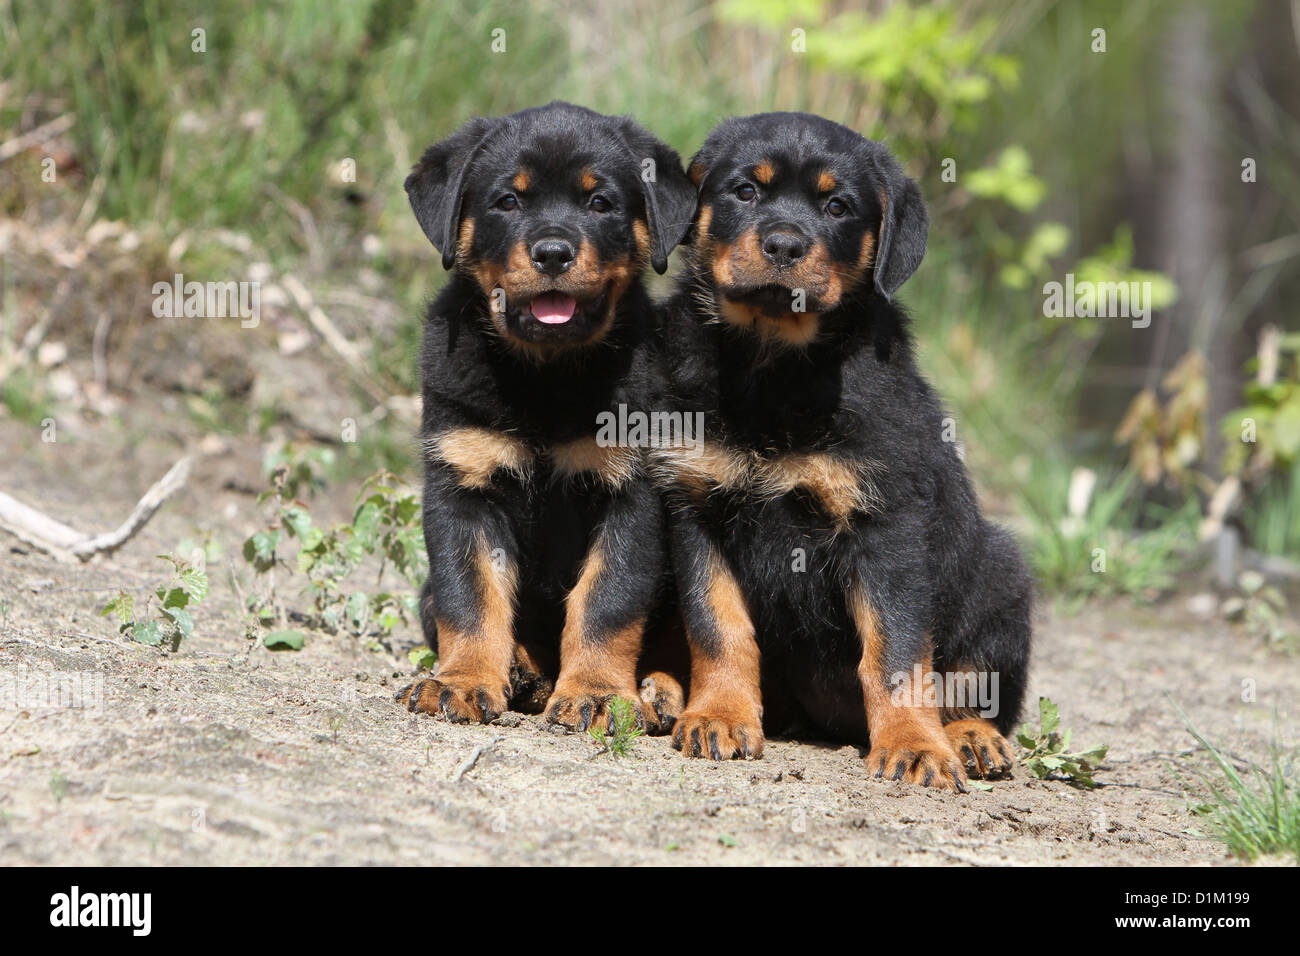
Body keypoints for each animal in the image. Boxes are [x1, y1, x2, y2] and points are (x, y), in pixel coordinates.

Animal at [397, 100, 696, 733]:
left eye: (600, 203)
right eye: (508, 201)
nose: (553, 252)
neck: (546, 376)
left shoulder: (632, 492)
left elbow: (608, 600)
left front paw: (599, 694)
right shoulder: (464, 483)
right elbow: (471, 595)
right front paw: (461, 681)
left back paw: (658, 691)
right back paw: (523, 669)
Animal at [655, 111, 1029, 790]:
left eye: (837, 206)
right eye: (744, 191)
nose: (783, 245)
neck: (775, 366)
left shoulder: (887, 523)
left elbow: (896, 650)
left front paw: (914, 746)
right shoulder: (698, 508)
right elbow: (718, 626)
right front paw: (719, 715)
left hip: (1000, 574)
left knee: (975, 685)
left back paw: (969, 738)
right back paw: (665, 691)